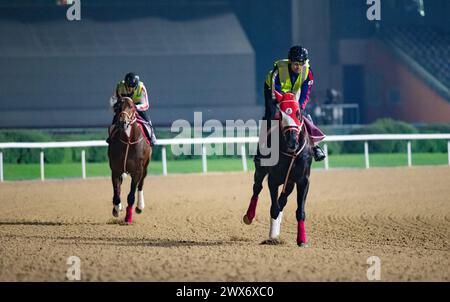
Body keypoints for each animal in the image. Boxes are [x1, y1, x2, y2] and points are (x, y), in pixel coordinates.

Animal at [108, 96, 152, 224]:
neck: (128, 141)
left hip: (145, 167)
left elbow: (131, 195)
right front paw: (116, 209)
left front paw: (128, 217)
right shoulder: (115, 170)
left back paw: (140, 206)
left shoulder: (137, 171)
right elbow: (116, 193)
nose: (123, 122)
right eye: (118, 106)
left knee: (141, 184)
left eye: (131, 107)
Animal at [243, 93, 312, 247]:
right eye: (280, 115)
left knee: (283, 198)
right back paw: (249, 216)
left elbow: (300, 211)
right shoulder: (273, 180)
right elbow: (274, 208)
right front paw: (272, 238)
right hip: (260, 169)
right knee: (257, 188)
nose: (292, 141)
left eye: (298, 113)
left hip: (290, 182)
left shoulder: (303, 180)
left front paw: (302, 240)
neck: (290, 152)